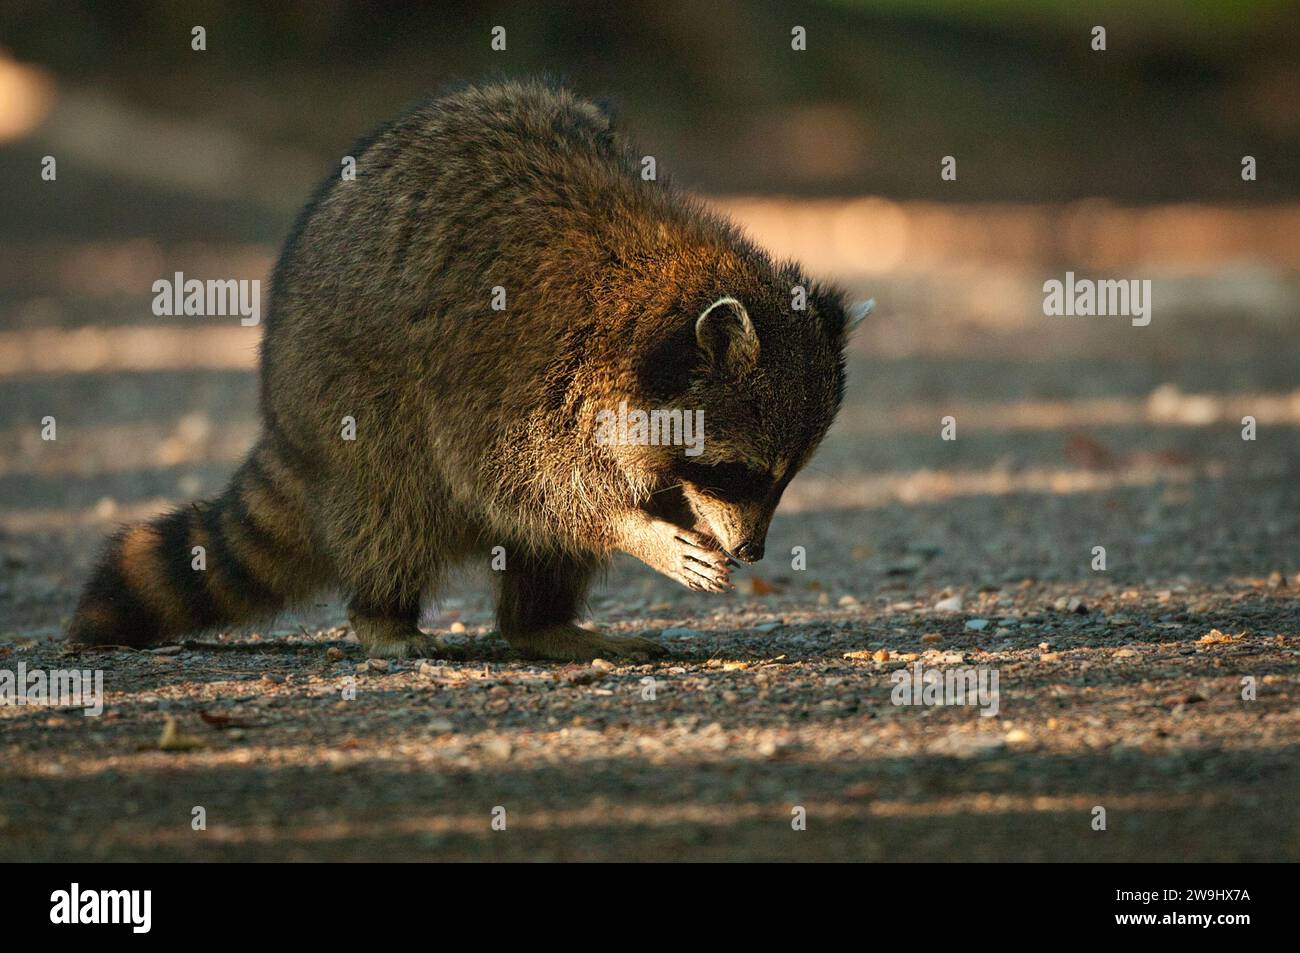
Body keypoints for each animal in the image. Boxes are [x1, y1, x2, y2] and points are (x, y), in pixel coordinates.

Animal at [67, 80, 865, 661]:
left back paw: (540, 623)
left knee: (538, 552)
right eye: (740, 471)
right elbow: (522, 483)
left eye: (786, 477)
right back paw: (384, 615)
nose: (753, 550)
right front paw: (635, 528)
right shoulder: (520, 374)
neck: (658, 292)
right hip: (353, 396)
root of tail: (282, 418)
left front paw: (656, 517)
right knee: (395, 503)